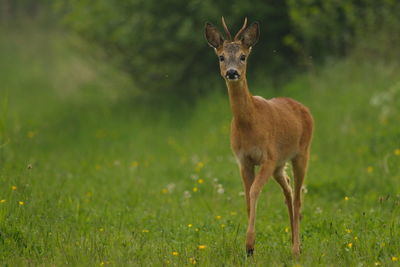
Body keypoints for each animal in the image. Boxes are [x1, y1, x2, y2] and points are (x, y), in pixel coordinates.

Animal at [205, 17, 314, 256]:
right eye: (221, 56)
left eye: (243, 56)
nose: (232, 72)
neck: (249, 125)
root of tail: (302, 107)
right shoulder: (243, 160)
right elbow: (247, 198)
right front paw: (250, 248)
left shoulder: (268, 157)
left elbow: (254, 192)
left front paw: (249, 245)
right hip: (280, 165)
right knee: (288, 191)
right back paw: (294, 244)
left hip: (301, 153)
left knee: (298, 197)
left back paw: (296, 249)